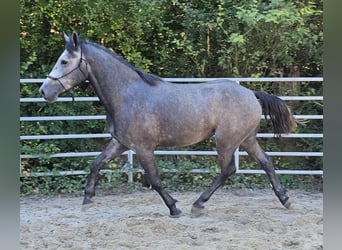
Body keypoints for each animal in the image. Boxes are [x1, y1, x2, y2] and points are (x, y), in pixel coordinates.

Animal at [38, 31, 298, 217]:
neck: (127, 95)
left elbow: (154, 179)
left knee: (227, 171)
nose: (44, 91)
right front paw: (87, 199)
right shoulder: (121, 143)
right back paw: (285, 199)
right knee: (266, 163)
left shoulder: (143, 148)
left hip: (226, 141)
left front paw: (174, 207)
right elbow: (96, 163)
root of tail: (251, 93)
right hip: (246, 139)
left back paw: (198, 204)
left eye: (64, 61)